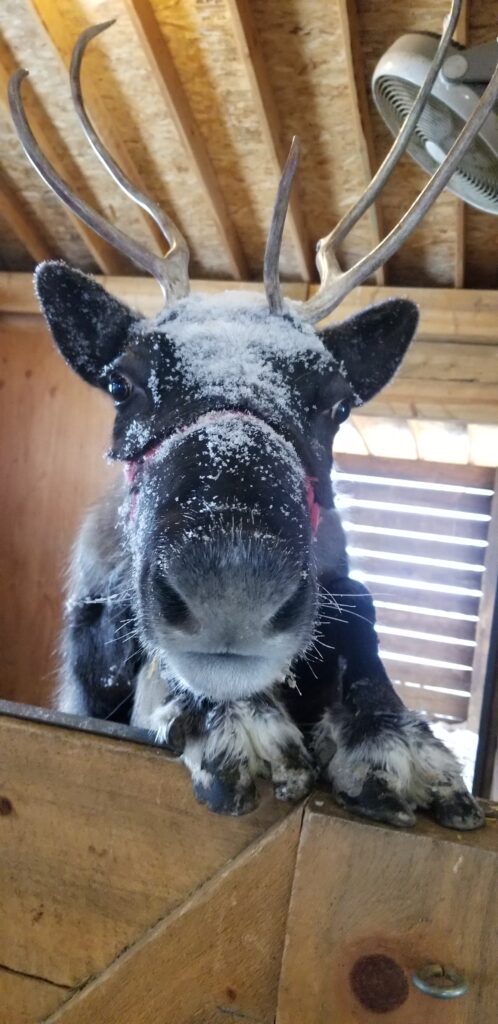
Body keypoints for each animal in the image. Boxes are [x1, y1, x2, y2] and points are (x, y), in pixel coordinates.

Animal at [9, 0, 496, 826]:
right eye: (122, 384)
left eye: (336, 402)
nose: (230, 594)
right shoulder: (88, 653)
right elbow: (135, 641)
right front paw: (236, 721)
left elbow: (361, 609)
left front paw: (398, 744)